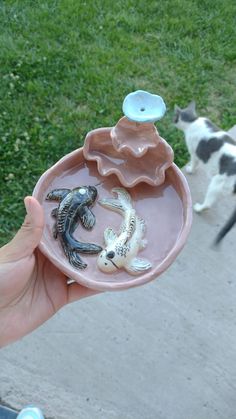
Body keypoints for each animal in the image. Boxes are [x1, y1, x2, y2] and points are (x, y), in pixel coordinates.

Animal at [173, 102, 236, 246]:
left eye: (175, 116)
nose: (172, 120)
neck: (193, 121)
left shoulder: (193, 152)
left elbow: (194, 163)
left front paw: (190, 169)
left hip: (217, 183)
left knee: (208, 203)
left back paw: (199, 208)